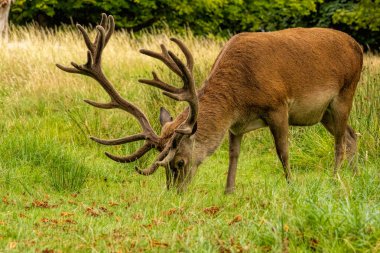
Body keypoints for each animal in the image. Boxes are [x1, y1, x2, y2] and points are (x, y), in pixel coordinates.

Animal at [56, 14, 362, 193]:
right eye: (164, 167)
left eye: (178, 162)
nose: (174, 193)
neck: (240, 95)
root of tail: (357, 45)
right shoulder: (237, 124)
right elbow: (233, 154)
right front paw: (228, 191)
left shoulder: (278, 105)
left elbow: (283, 151)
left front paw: (290, 185)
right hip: (324, 113)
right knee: (351, 134)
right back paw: (353, 174)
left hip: (345, 92)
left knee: (340, 141)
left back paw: (335, 177)